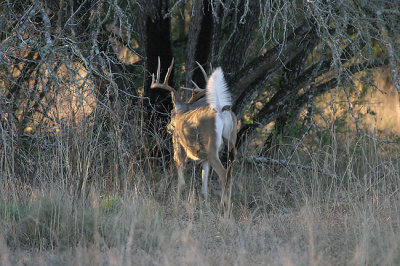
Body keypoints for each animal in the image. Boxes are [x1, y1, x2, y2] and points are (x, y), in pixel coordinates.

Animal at [151, 58, 238, 208]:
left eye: (172, 113)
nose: (168, 128)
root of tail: (221, 112)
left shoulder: (178, 147)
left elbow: (181, 181)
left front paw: (177, 205)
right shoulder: (205, 159)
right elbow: (204, 187)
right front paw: (206, 208)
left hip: (211, 147)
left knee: (223, 174)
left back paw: (223, 209)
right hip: (231, 145)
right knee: (229, 174)